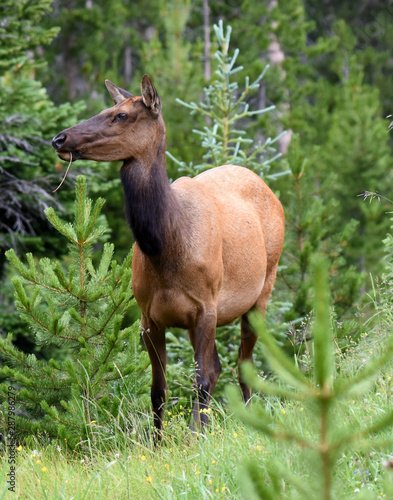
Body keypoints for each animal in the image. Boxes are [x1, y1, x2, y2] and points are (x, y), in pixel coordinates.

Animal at [52, 74, 284, 442]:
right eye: (105, 108)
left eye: (121, 115)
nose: (59, 138)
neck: (167, 251)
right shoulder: (149, 316)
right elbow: (158, 389)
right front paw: (160, 444)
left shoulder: (207, 306)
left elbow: (199, 380)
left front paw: (196, 439)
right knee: (218, 367)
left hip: (263, 289)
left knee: (242, 366)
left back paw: (247, 424)